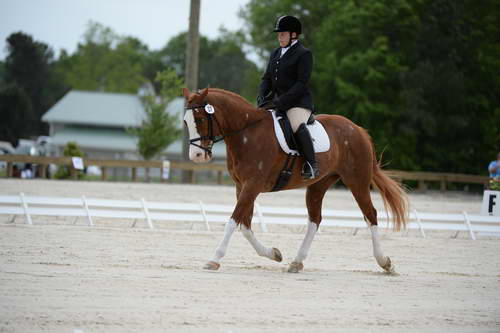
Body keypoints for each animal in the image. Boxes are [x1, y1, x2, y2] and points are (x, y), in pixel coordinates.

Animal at [182, 86, 408, 272]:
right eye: (185, 121)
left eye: (200, 119)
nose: (197, 156)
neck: (247, 133)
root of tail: (358, 129)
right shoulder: (242, 186)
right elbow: (245, 225)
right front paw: (274, 253)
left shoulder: (252, 186)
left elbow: (232, 222)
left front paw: (214, 259)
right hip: (319, 184)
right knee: (315, 219)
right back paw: (296, 262)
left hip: (357, 180)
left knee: (370, 214)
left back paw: (385, 263)